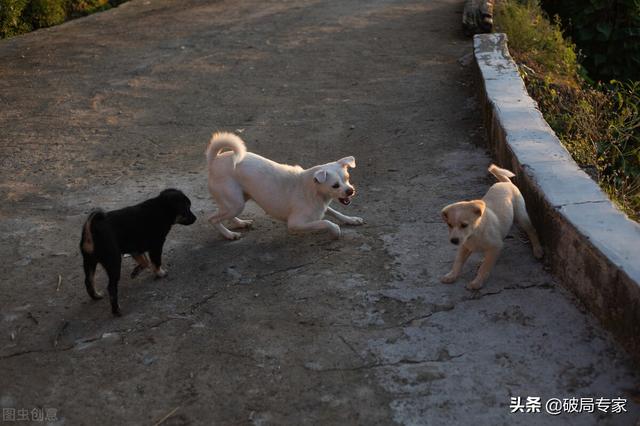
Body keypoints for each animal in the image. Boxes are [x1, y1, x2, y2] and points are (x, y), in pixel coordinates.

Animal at [206, 133, 362, 240]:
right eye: (335, 185)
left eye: (347, 179)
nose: (350, 191)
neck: (312, 189)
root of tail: (215, 160)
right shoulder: (295, 223)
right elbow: (326, 222)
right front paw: (335, 230)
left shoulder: (322, 207)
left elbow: (335, 213)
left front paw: (351, 219)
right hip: (236, 203)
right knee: (212, 219)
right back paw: (229, 234)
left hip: (238, 199)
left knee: (224, 214)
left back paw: (240, 223)